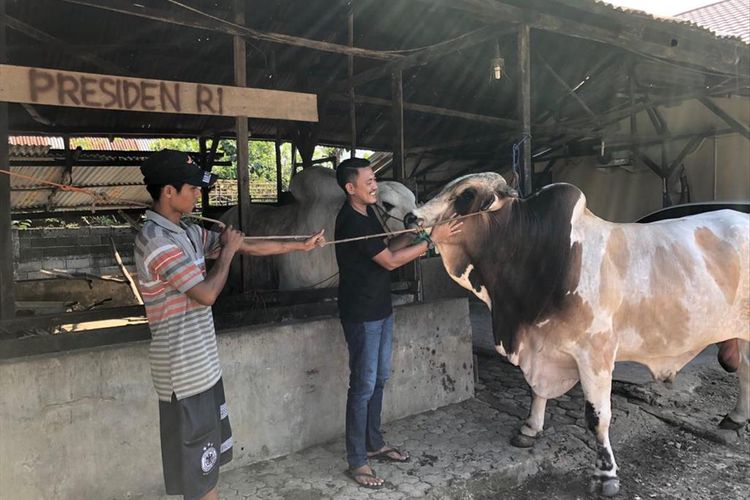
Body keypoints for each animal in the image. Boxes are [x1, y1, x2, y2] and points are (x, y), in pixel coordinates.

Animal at [408, 172, 748, 496]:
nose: (412, 217)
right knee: (745, 371)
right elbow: (537, 391)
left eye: (465, 195)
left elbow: (598, 417)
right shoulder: (541, 344)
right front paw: (530, 429)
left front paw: (606, 475)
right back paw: (735, 418)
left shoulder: (596, 354)